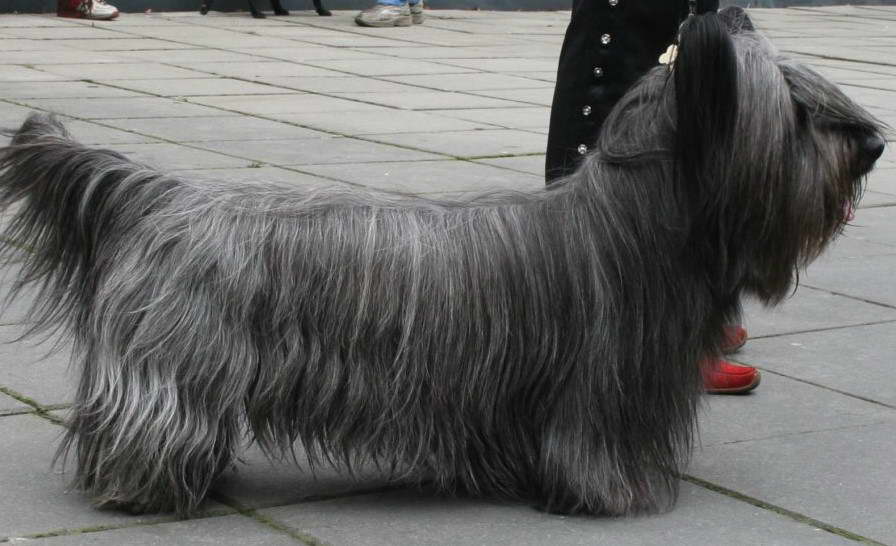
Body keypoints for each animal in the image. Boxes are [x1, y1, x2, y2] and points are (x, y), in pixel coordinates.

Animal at [0, 8, 884, 516]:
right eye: (801, 113)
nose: (875, 142)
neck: (633, 223)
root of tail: (164, 193)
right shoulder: (598, 389)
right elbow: (592, 451)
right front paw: (614, 495)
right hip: (180, 363)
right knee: (152, 419)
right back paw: (146, 488)